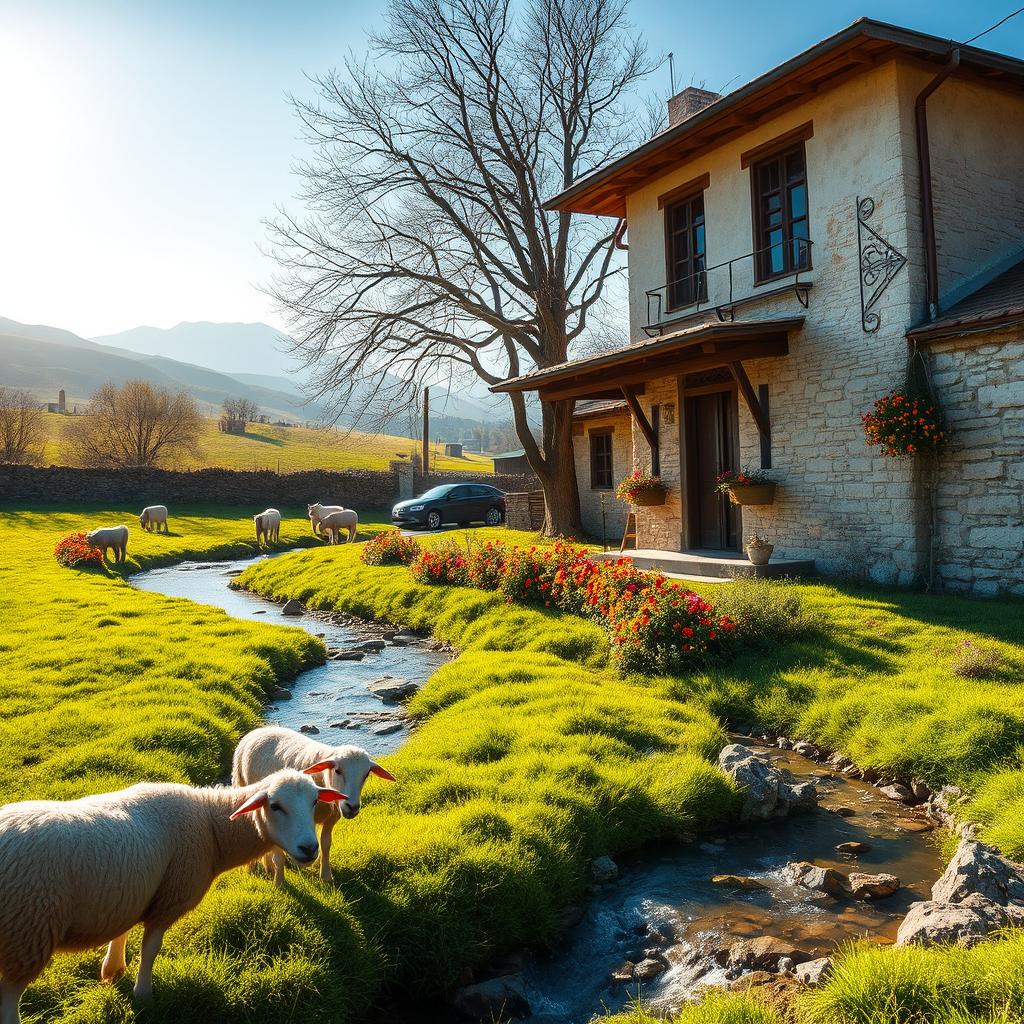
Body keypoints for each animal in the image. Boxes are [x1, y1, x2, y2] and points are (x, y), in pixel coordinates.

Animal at [0, 770, 346, 1024]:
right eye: (275, 806)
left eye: (315, 801)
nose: (309, 849)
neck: (211, 826)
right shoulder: (169, 898)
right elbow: (150, 949)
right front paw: (143, 994)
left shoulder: (132, 889)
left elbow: (122, 930)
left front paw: (112, 971)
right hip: (26, 932)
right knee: (9, 998)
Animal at [233, 724, 395, 884]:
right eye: (337, 771)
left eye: (366, 774)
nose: (352, 807)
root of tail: (260, 729)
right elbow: (278, 854)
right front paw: (279, 883)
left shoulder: (331, 818)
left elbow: (326, 844)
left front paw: (326, 876)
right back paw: (254, 867)